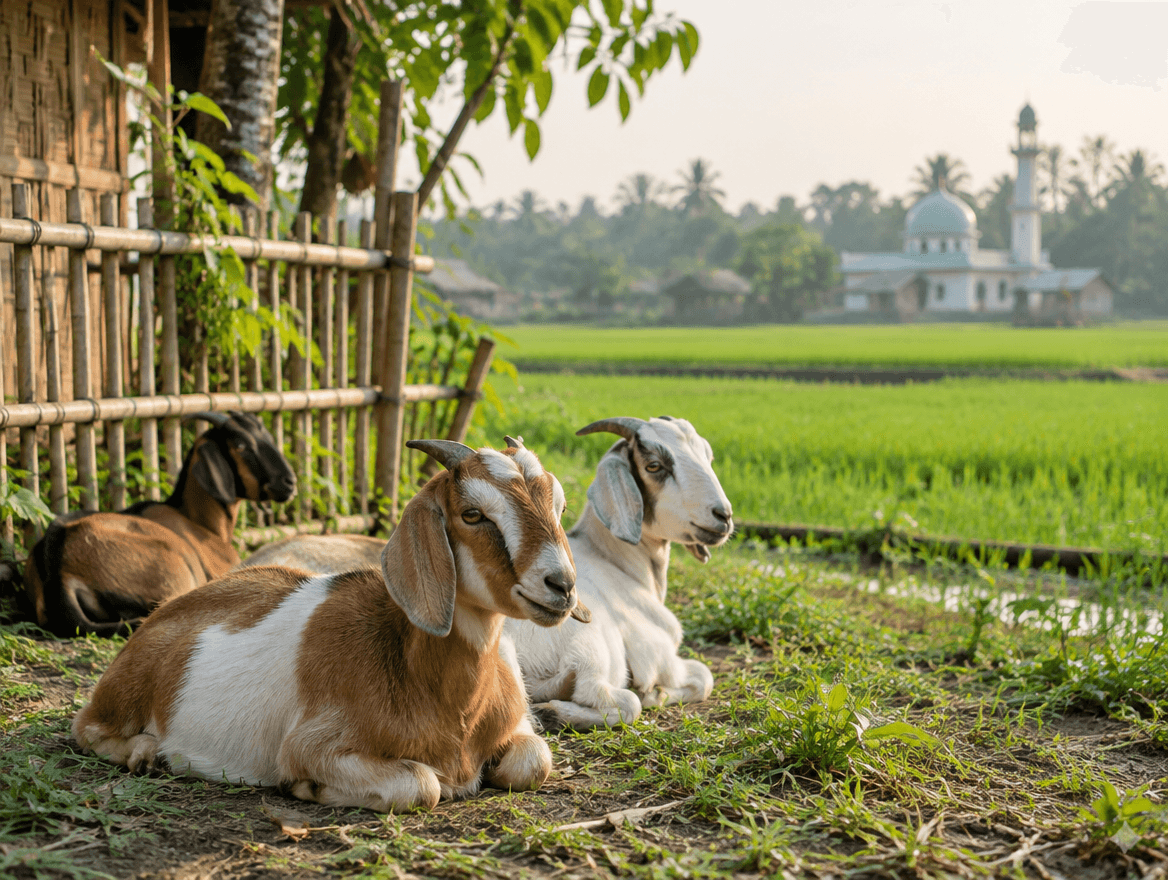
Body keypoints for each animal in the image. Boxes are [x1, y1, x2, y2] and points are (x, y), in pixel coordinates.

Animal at [72, 439, 586, 812]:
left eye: (559, 508)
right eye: (472, 514)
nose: (561, 585)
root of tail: (160, 616)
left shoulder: (518, 727)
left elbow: (535, 760)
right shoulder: (311, 745)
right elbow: (421, 785)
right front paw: (305, 788)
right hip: (125, 691)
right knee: (86, 727)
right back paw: (145, 753)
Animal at [502, 417, 732, 730]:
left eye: (708, 456)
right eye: (654, 466)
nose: (723, 516)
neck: (614, 561)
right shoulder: (658, 654)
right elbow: (703, 677)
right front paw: (655, 693)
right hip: (591, 650)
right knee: (617, 699)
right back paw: (555, 712)